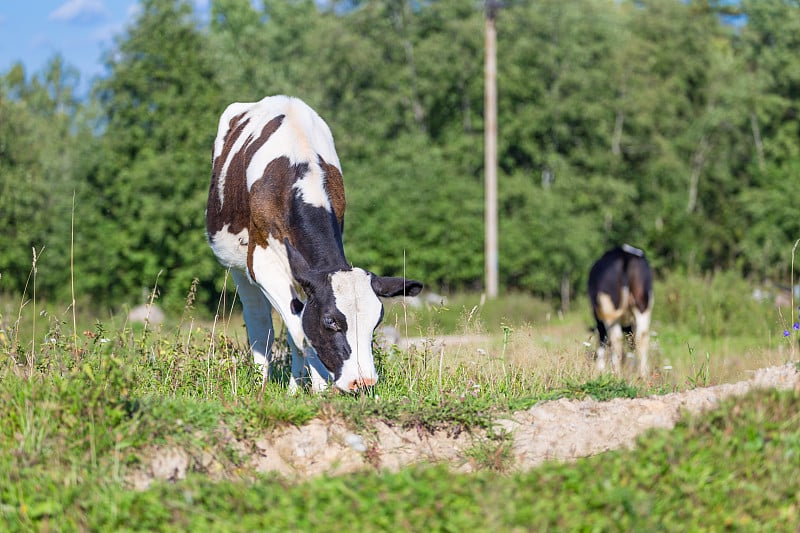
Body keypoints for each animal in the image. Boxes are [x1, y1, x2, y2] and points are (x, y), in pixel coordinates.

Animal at [205, 95, 424, 390]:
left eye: (376, 322)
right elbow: (300, 333)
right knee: (259, 322)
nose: (363, 381)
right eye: (330, 321)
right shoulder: (262, 261)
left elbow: (299, 329)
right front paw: (316, 388)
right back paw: (262, 381)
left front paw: (303, 387)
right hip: (237, 265)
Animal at [584, 243, 652, 376]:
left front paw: (599, 369)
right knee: (641, 337)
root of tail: (625, 254)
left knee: (615, 339)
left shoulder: (598, 319)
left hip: (608, 306)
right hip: (643, 304)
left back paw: (616, 373)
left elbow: (602, 340)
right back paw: (643, 375)